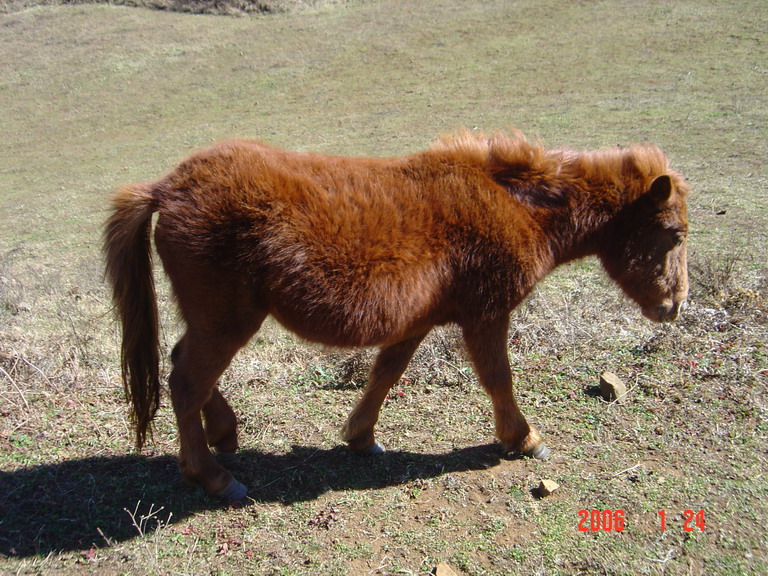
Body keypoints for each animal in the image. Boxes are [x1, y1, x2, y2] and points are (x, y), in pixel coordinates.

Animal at [103, 130, 688, 500]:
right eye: (675, 234)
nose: (674, 306)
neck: (515, 205)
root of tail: (165, 188)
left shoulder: (417, 323)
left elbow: (385, 374)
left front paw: (361, 438)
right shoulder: (485, 316)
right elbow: (498, 378)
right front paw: (523, 439)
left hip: (216, 320)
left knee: (186, 367)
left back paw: (224, 436)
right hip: (227, 321)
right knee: (186, 380)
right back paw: (214, 477)